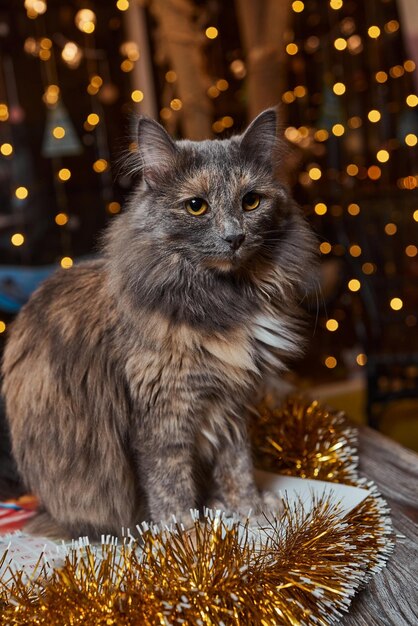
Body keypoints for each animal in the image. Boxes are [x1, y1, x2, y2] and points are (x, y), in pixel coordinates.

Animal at [0, 107, 316, 536]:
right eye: (196, 206)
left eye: (251, 201)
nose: (234, 237)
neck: (222, 301)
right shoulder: (163, 411)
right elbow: (170, 486)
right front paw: (186, 536)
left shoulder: (232, 403)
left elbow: (238, 465)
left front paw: (250, 512)